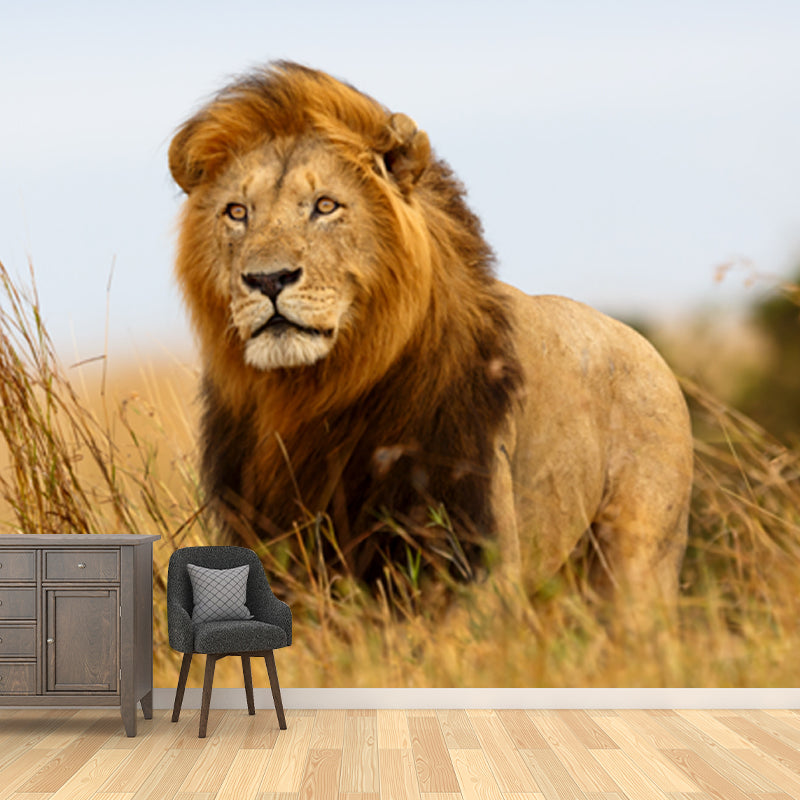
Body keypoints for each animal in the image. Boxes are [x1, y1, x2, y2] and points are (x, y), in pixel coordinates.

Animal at [168, 61, 693, 630]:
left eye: (325, 206)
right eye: (237, 212)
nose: (267, 279)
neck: (315, 393)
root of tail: (649, 350)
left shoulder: (473, 545)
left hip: (638, 562)